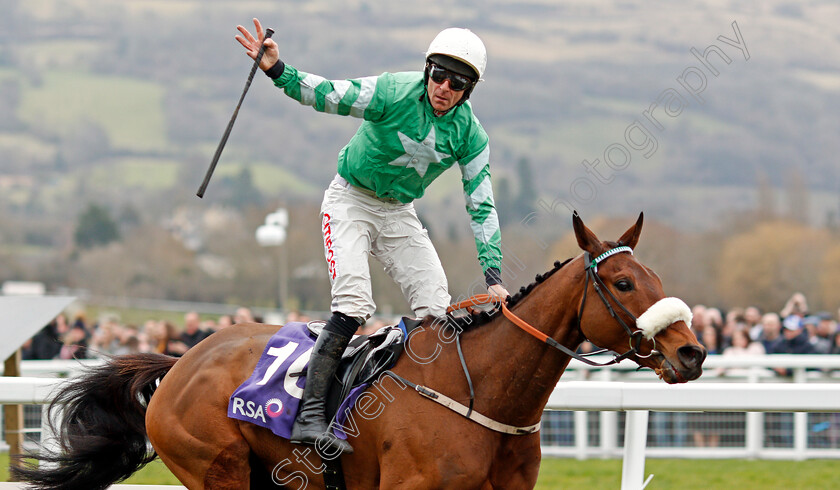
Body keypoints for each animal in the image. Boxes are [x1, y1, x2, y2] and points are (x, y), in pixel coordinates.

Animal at [16, 213, 704, 490]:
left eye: (656, 277)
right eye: (623, 284)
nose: (692, 352)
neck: (479, 391)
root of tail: (180, 360)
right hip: (216, 466)